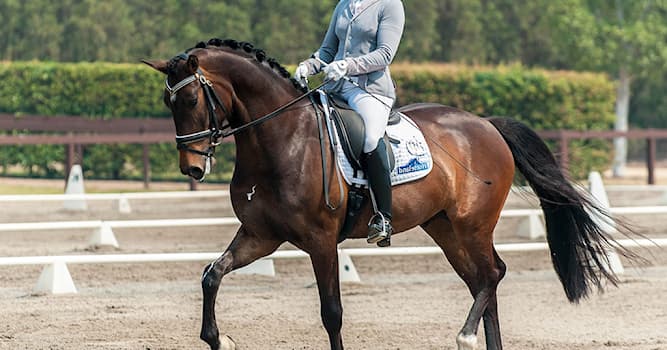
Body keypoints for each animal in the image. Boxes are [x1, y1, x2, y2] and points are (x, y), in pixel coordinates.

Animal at [144, 39, 636, 350]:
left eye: (190, 101)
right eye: (168, 104)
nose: (192, 168)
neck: (280, 140)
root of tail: (486, 124)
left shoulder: (321, 241)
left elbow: (332, 312)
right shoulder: (260, 236)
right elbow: (211, 275)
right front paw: (219, 338)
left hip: (472, 224)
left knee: (493, 274)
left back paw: (465, 336)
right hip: (444, 228)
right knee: (482, 279)